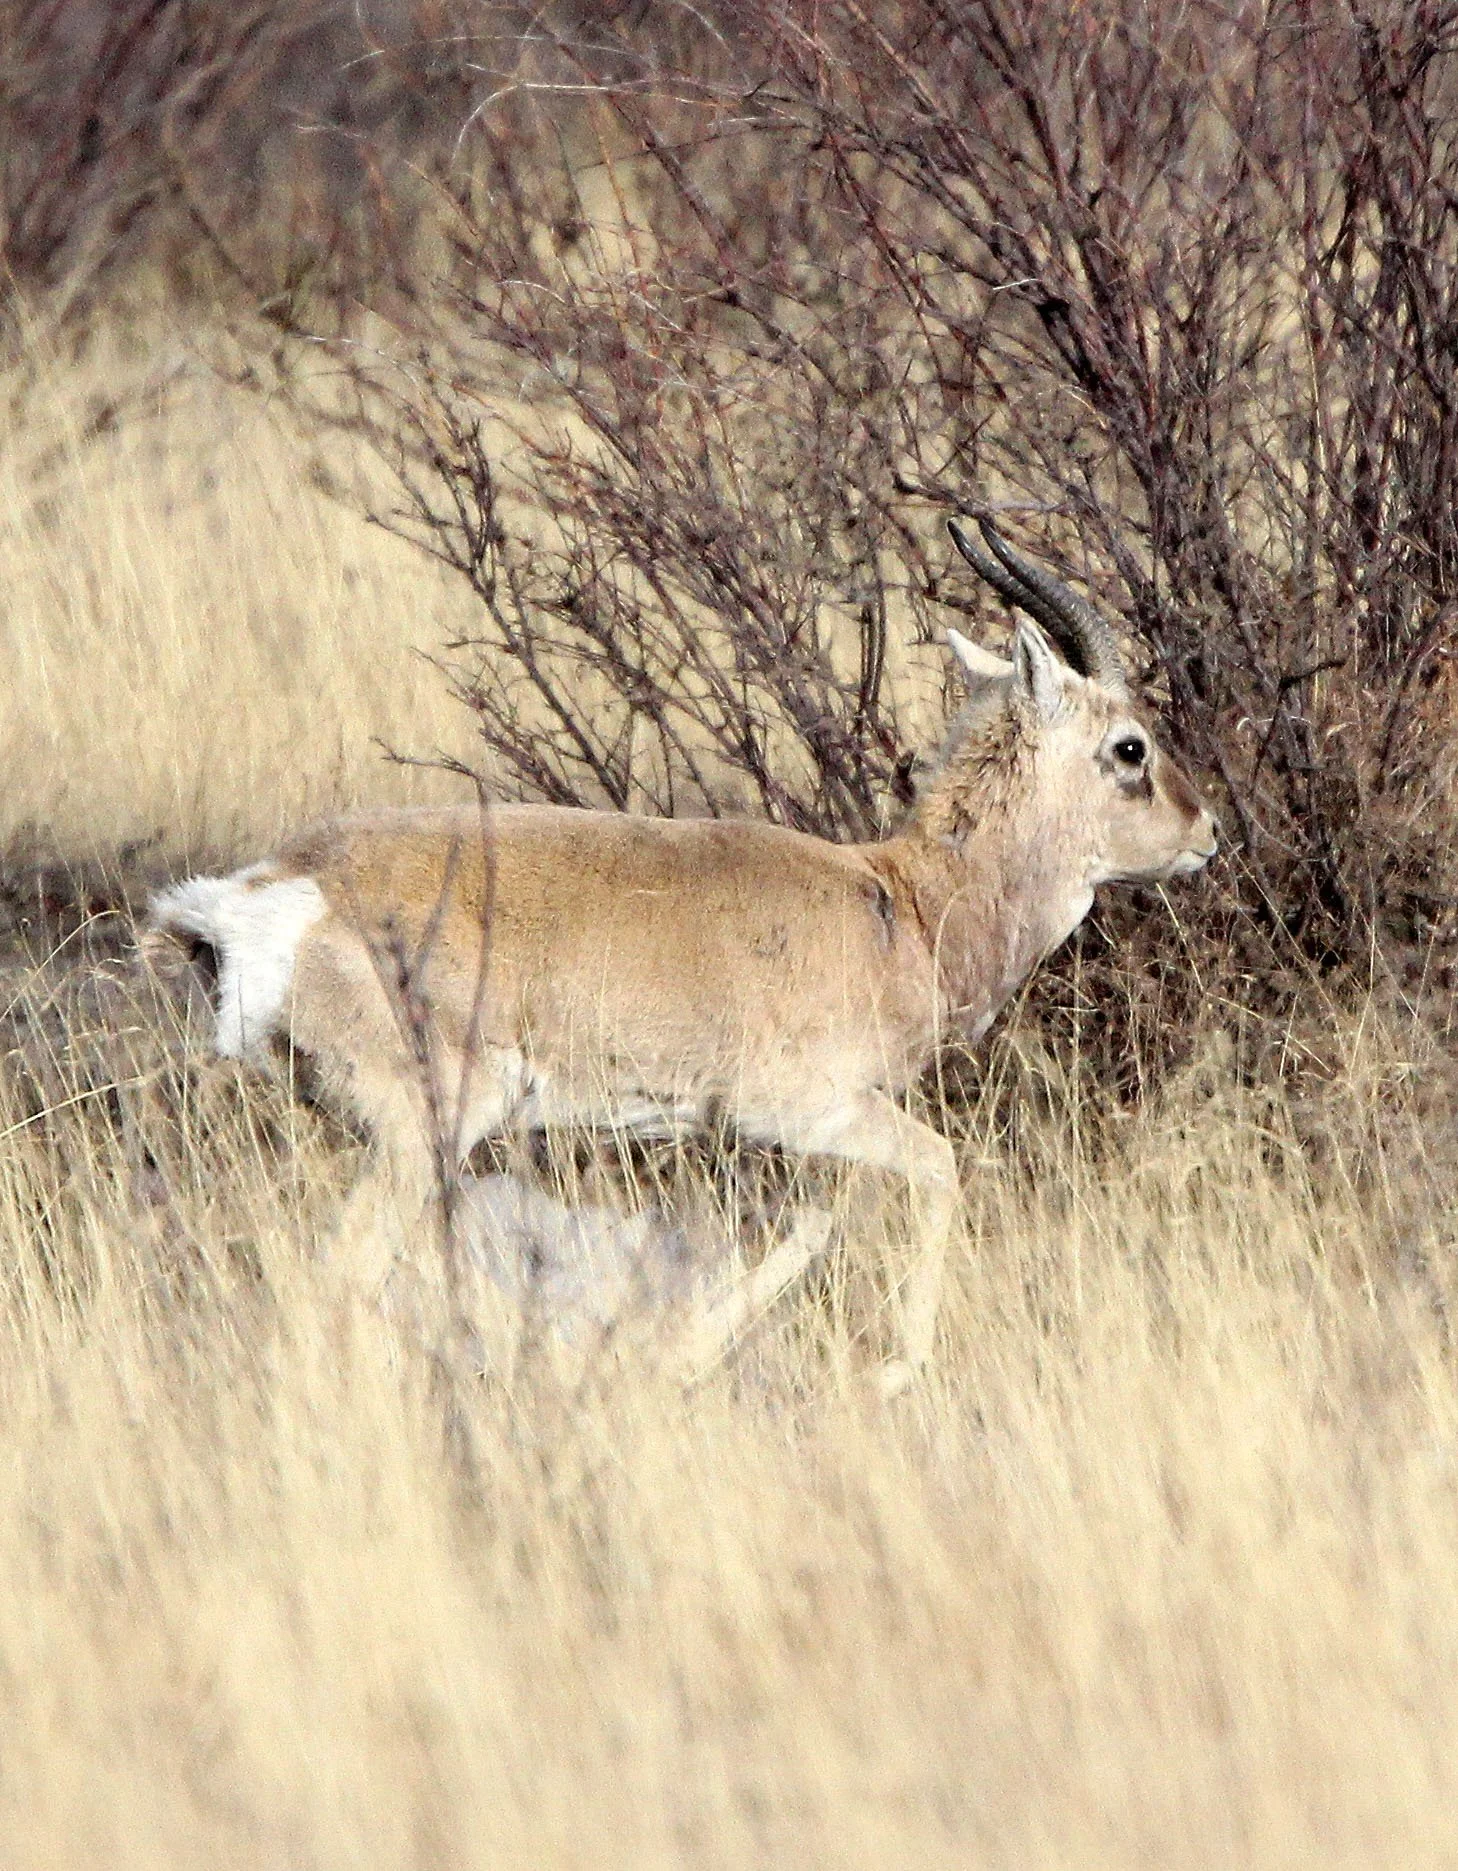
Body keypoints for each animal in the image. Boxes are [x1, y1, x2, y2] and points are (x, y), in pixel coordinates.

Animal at [145, 517, 1216, 1394]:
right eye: (1129, 746)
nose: (1208, 833)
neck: (901, 905)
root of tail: (272, 889)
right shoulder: (810, 1110)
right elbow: (938, 1171)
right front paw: (897, 1368)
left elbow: (810, 1226)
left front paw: (681, 1359)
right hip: (423, 1134)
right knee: (334, 1282)